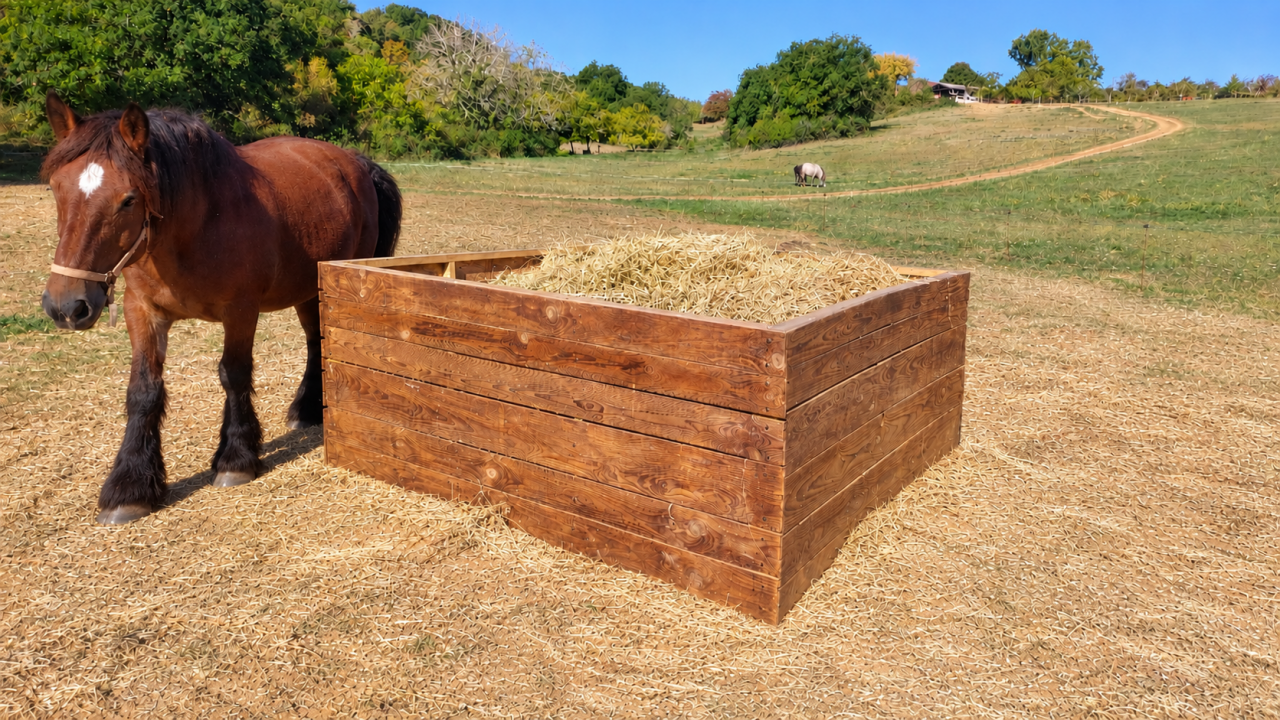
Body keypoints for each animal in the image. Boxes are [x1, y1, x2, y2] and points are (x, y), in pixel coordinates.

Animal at [39, 92, 402, 525]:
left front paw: (236, 458)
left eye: (128, 199)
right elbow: (143, 391)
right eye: (56, 189)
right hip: (305, 288)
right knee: (315, 342)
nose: (66, 306)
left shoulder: (241, 311)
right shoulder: (142, 311)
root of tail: (354, 161)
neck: (196, 224)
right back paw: (307, 408)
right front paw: (129, 486)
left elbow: (234, 374)